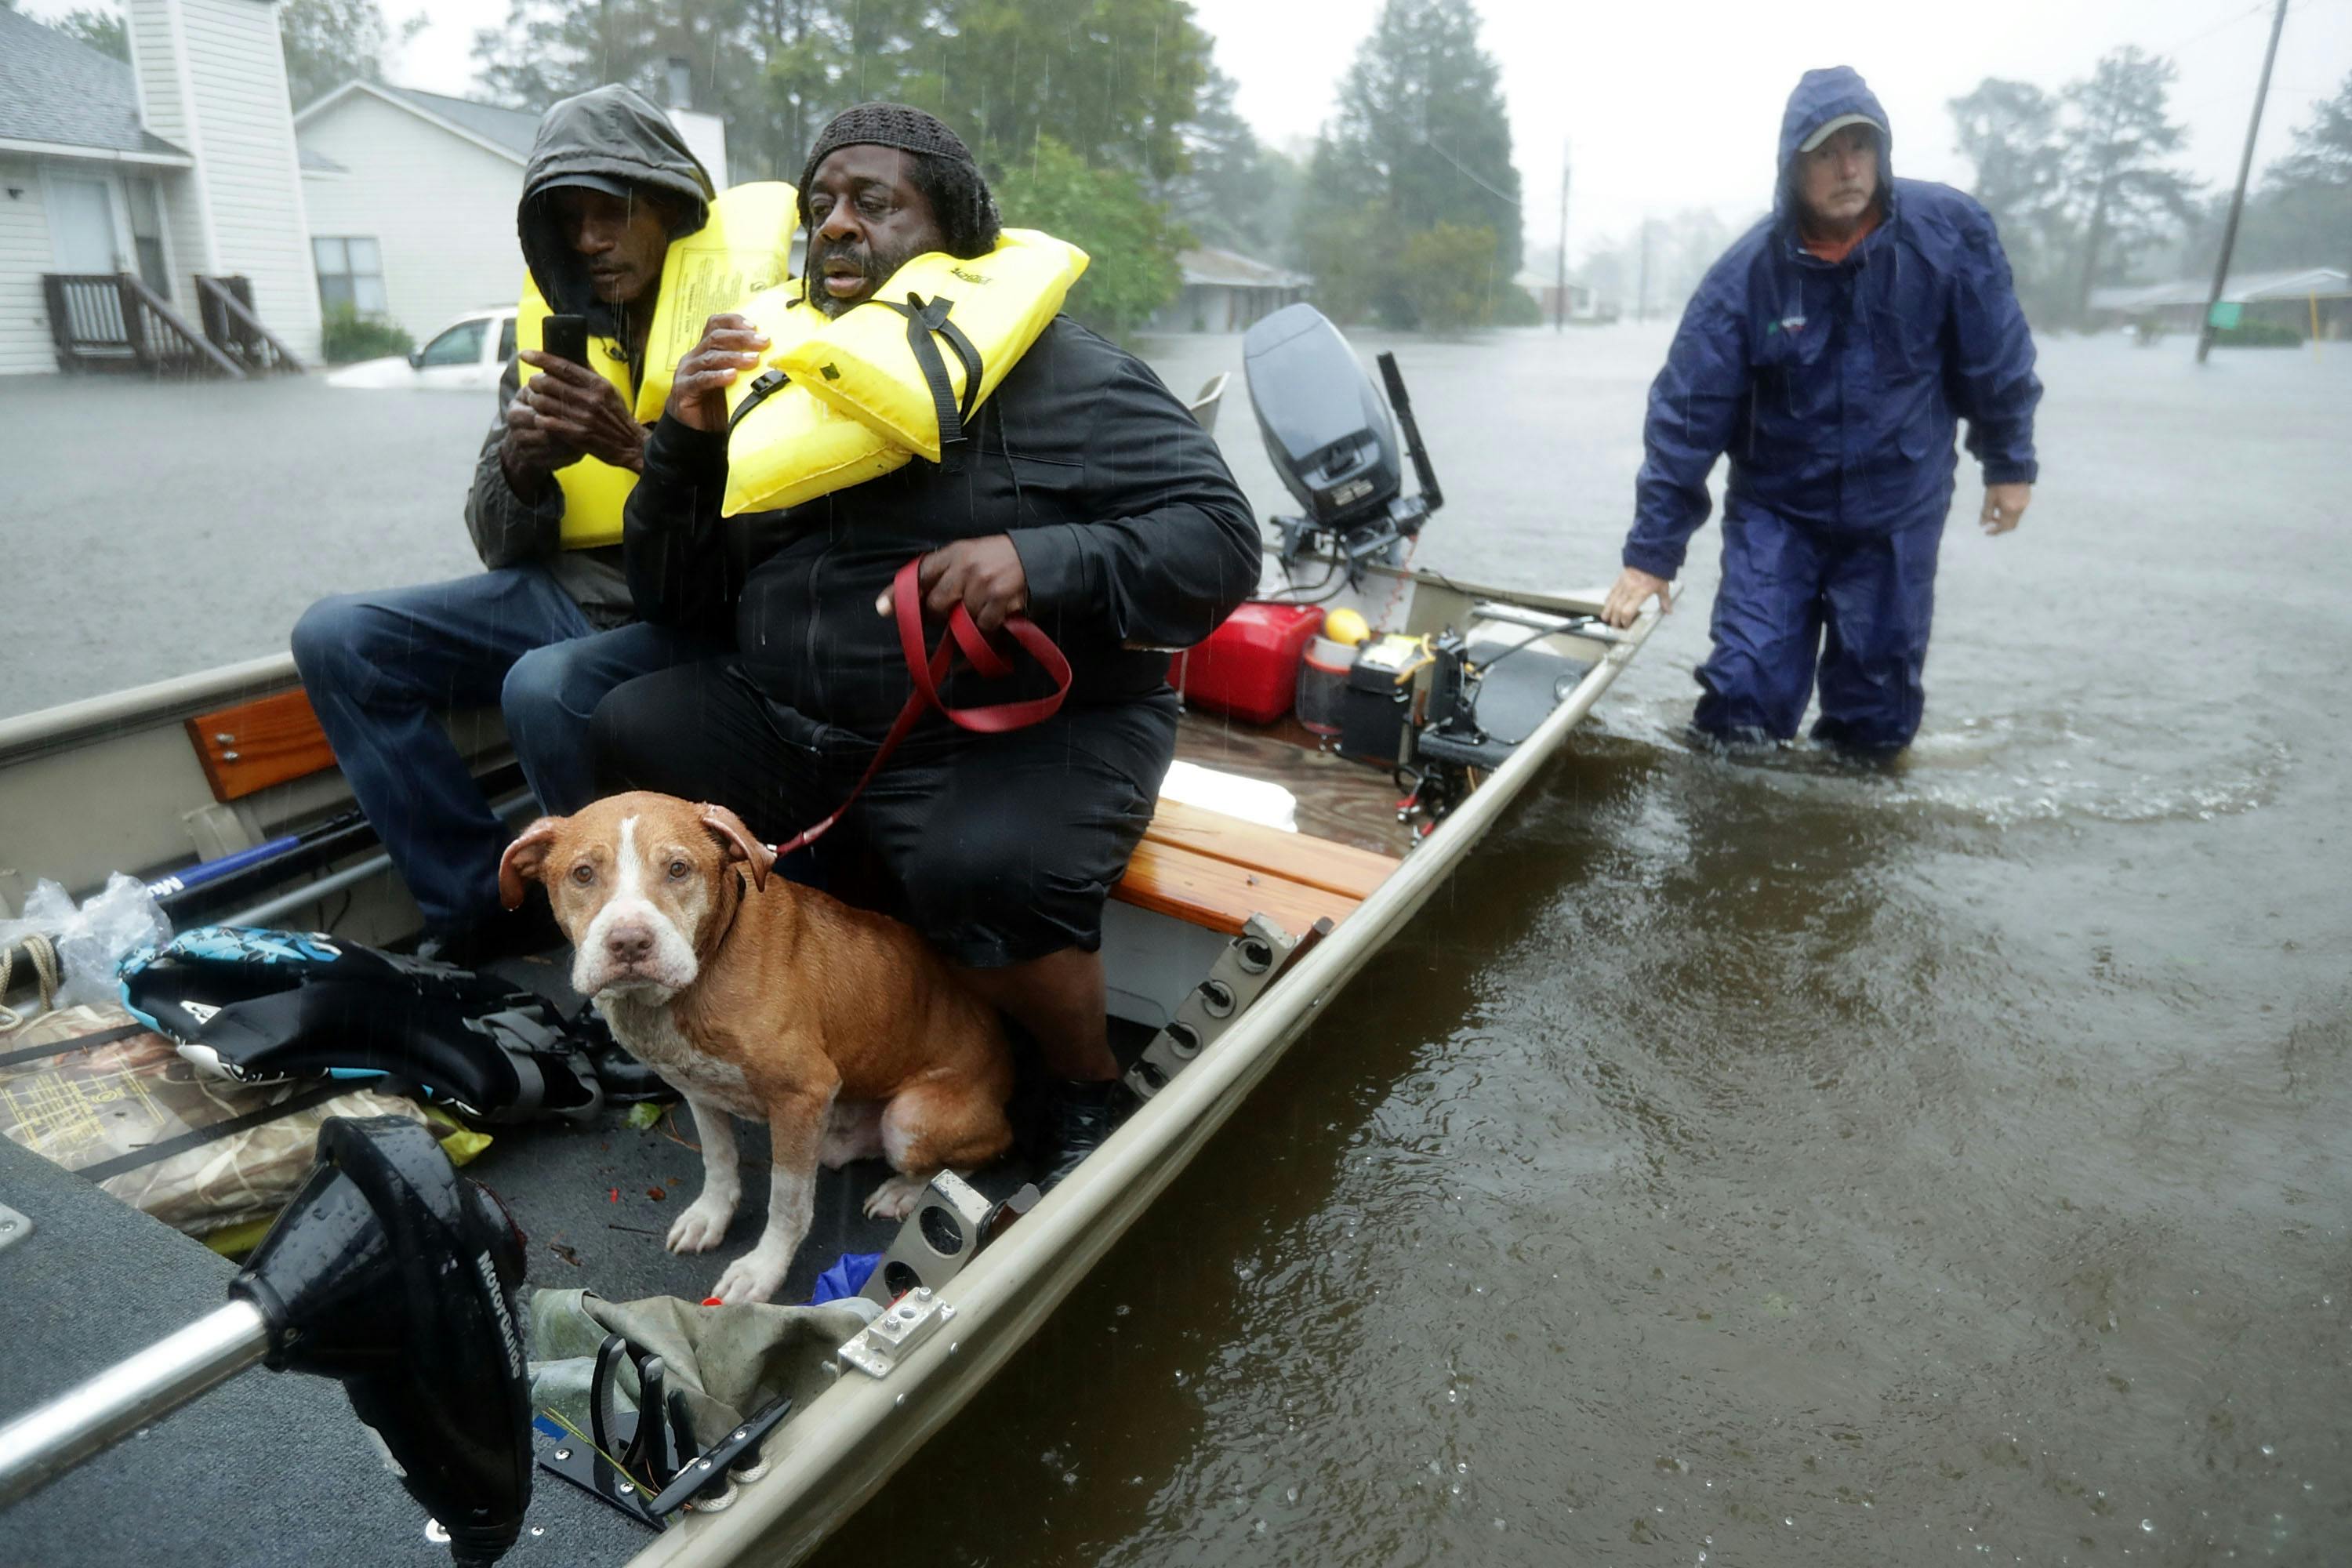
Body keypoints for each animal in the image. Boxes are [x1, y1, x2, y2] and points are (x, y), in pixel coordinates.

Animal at [496, 789, 1011, 1307]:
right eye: (583, 874)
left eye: (678, 869)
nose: (629, 943)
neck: (697, 978)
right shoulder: (698, 1089)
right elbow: (719, 1161)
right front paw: (711, 1216)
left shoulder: (803, 1092)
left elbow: (786, 1201)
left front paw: (763, 1269)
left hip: (909, 1119)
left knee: (973, 1158)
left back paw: (906, 1192)